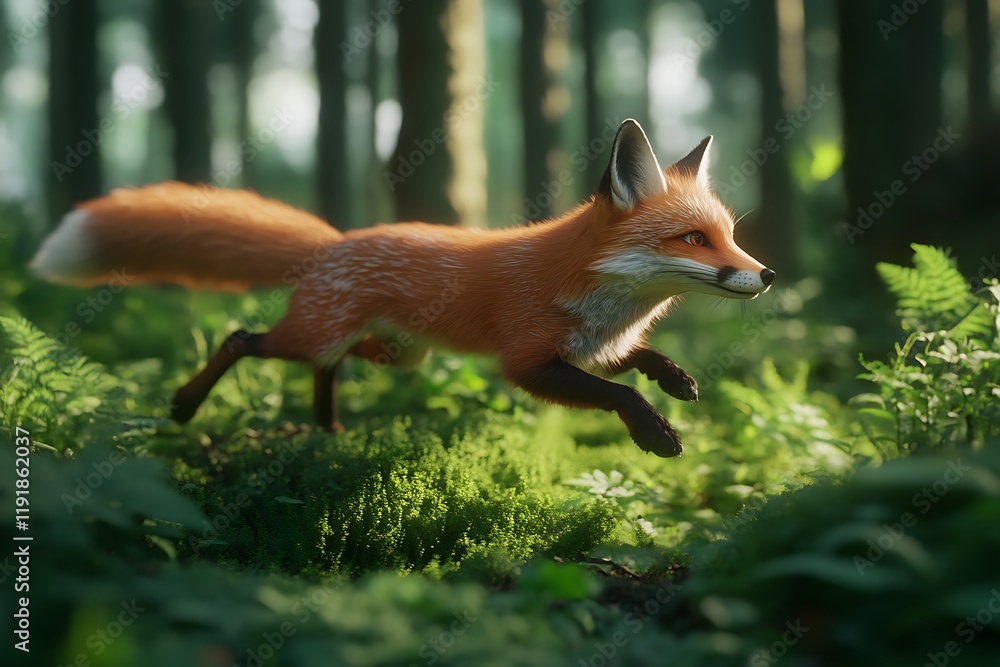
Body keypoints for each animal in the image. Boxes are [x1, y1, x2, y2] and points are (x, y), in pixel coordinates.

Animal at [31, 119, 774, 458]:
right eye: (692, 240)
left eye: (729, 234)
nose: (765, 274)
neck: (608, 301)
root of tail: (335, 241)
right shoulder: (529, 362)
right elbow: (615, 392)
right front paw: (654, 430)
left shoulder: (592, 346)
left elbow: (638, 362)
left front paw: (676, 379)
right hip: (325, 336)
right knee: (244, 339)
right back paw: (187, 404)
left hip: (399, 353)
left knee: (327, 365)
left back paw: (328, 428)